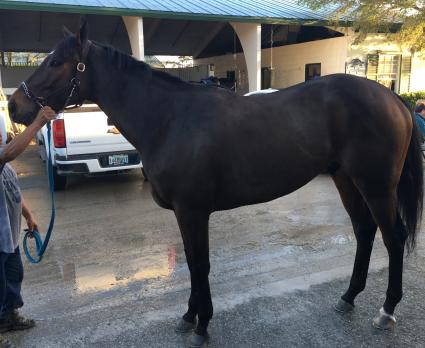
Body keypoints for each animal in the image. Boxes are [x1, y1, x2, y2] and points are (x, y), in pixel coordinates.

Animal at [8, 21, 422, 346]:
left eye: (56, 62)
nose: (14, 106)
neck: (169, 119)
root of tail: (392, 96)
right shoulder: (184, 213)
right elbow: (193, 263)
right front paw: (189, 317)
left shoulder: (193, 210)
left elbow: (200, 264)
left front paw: (202, 325)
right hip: (346, 179)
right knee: (365, 231)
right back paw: (348, 296)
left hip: (377, 185)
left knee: (393, 237)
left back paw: (386, 310)